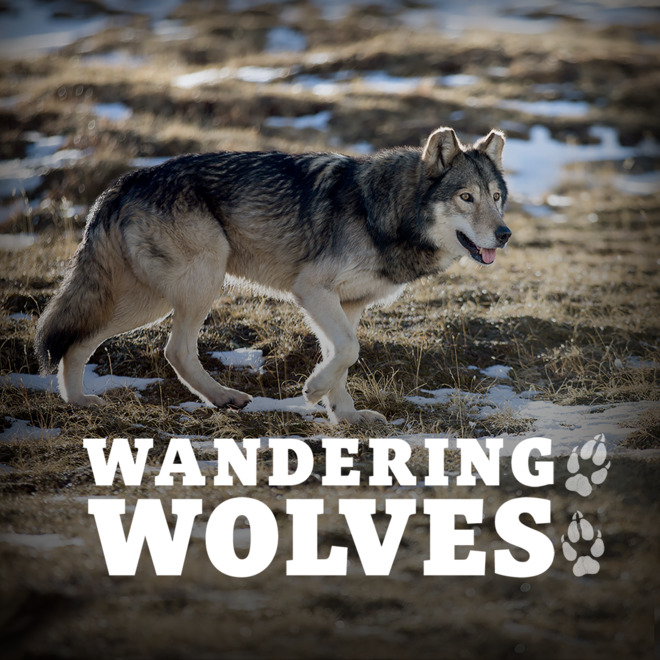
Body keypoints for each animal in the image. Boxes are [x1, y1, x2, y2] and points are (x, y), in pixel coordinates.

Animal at [34, 127, 510, 424]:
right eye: (466, 197)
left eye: (497, 197)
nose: (504, 234)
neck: (384, 211)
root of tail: (125, 182)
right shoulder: (311, 291)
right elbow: (348, 351)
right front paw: (313, 391)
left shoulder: (348, 305)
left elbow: (343, 357)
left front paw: (346, 415)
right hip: (194, 284)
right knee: (169, 349)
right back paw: (219, 397)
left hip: (150, 299)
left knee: (85, 341)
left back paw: (79, 402)